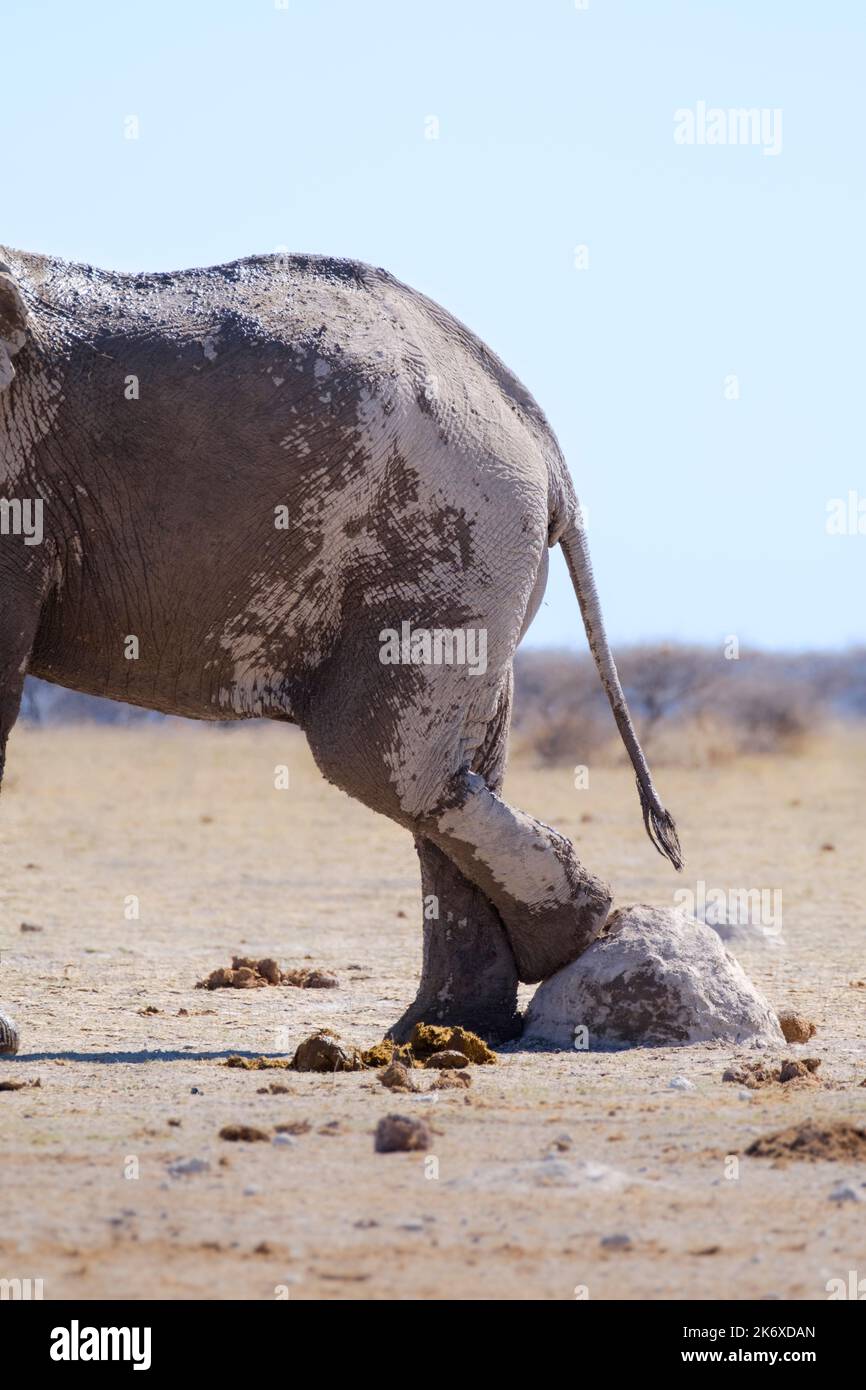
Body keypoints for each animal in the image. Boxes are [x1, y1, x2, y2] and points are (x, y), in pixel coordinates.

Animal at [0, 244, 681, 1045]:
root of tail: (543, 443)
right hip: (471, 546)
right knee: (446, 768)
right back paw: (447, 1025)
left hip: (446, 539)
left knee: (385, 760)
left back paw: (564, 939)